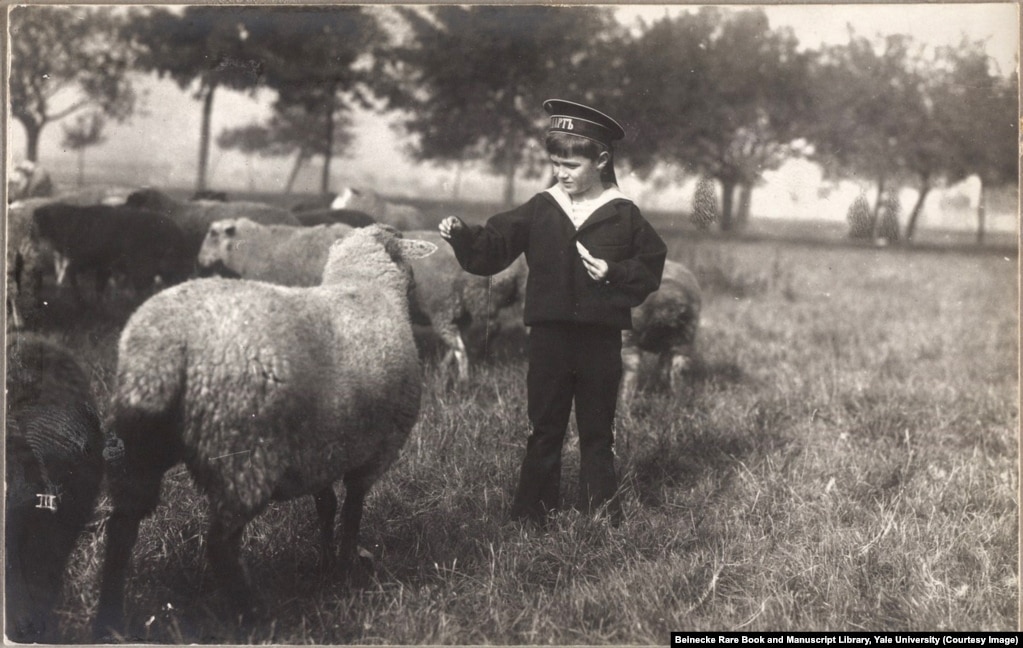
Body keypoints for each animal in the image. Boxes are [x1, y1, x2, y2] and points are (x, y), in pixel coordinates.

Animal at [617, 258, 699, 401]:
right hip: (684, 338)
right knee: (678, 368)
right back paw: (678, 398)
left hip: (628, 337)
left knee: (631, 369)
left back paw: (624, 402)